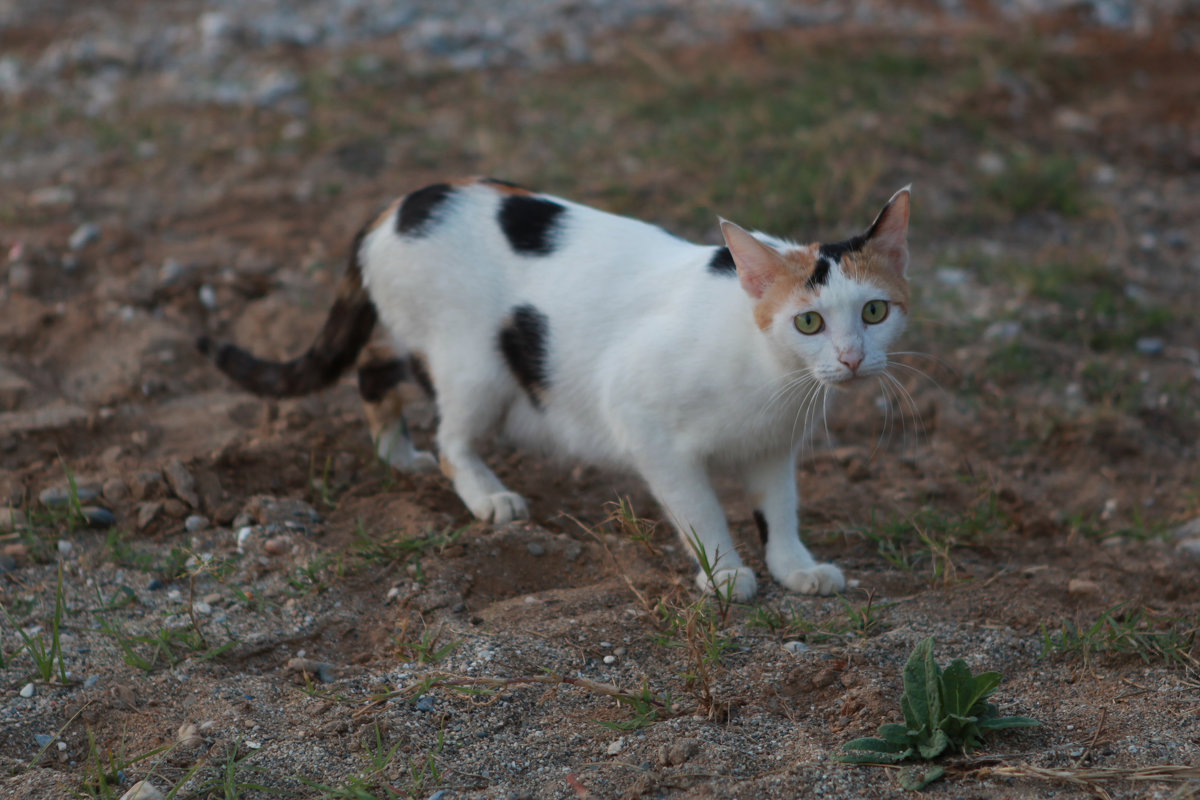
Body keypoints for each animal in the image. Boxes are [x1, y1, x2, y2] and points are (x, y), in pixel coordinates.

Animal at [199, 176, 907, 599]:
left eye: (875, 312)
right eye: (809, 322)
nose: (851, 359)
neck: (774, 375)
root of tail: (397, 206)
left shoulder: (772, 449)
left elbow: (779, 511)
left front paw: (795, 569)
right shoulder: (642, 420)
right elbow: (699, 508)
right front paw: (726, 572)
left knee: (375, 368)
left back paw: (397, 456)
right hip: (476, 365)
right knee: (450, 436)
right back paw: (488, 496)